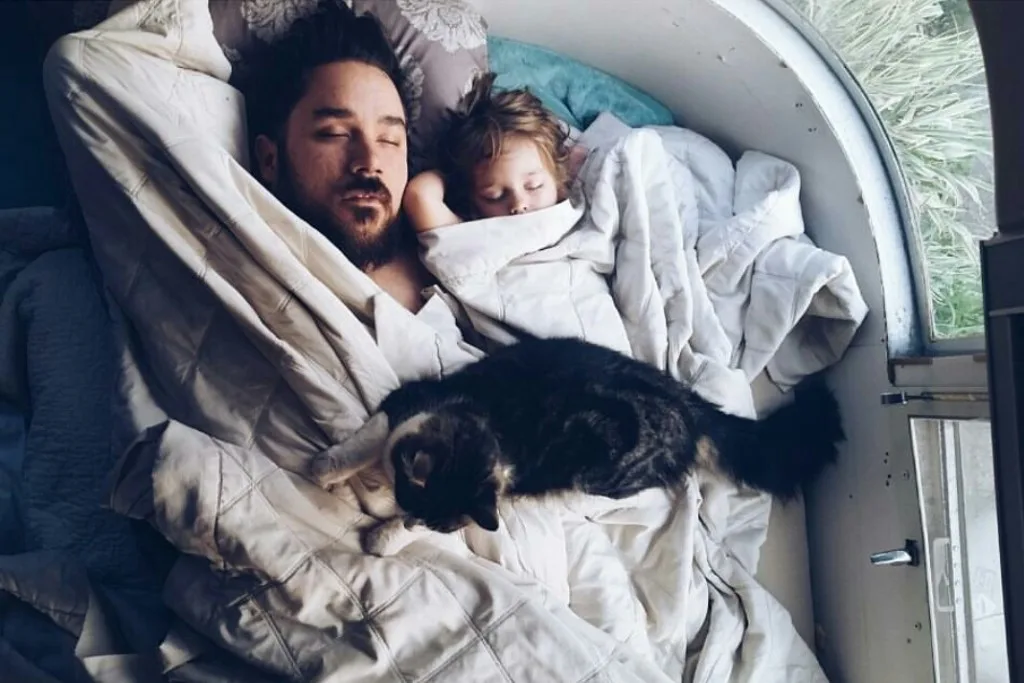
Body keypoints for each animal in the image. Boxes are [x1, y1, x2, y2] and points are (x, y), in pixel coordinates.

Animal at [311, 335, 839, 557]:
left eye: (433, 525)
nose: (411, 519)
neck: (486, 428)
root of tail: (690, 405)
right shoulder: (408, 399)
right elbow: (369, 437)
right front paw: (330, 469)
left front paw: (383, 537)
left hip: (600, 476)